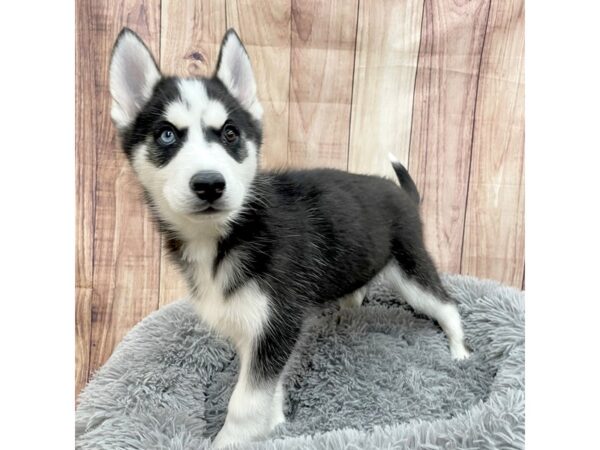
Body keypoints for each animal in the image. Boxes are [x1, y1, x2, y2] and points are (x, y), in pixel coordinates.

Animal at [110, 29, 472, 448]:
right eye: (167, 135)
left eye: (230, 134)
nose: (210, 184)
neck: (229, 232)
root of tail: (402, 194)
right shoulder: (259, 330)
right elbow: (270, 387)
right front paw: (278, 423)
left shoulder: (277, 322)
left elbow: (245, 403)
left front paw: (235, 438)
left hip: (411, 270)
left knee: (446, 305)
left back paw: (460, 351)